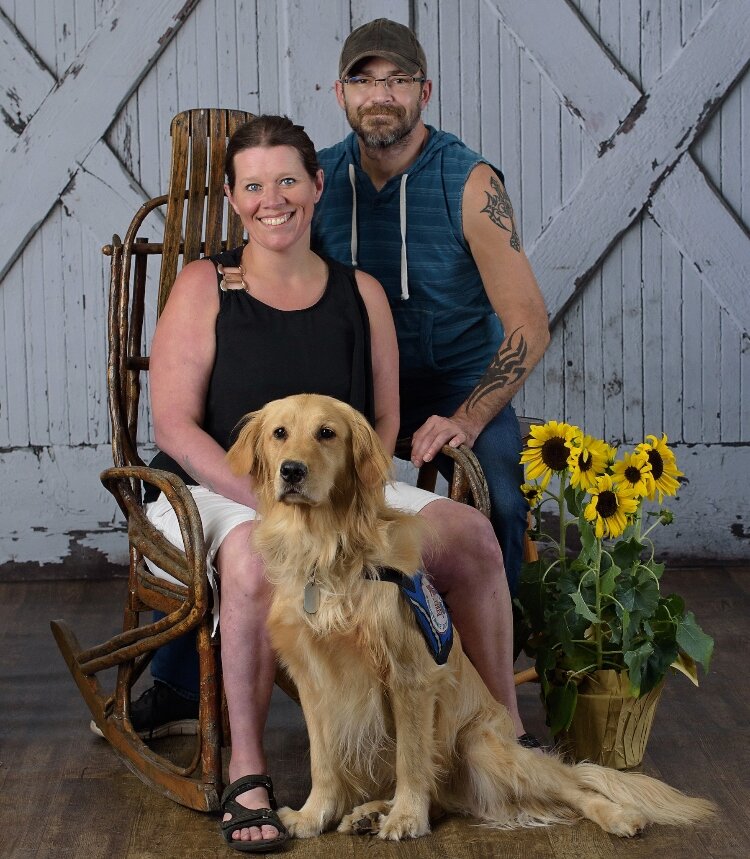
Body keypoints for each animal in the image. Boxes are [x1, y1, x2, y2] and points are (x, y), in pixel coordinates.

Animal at [228, 394, 716, 840]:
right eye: (279, 433)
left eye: (326, 433)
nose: (291, 471)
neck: (328, 550)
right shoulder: (315, 681)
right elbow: (324, 761)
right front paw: (313, 816)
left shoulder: (409, 676)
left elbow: (411, 759)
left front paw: (405, 818)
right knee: (441, 797)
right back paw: (369, 812)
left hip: (483, 746)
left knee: (575, 786)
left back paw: (618, 815)